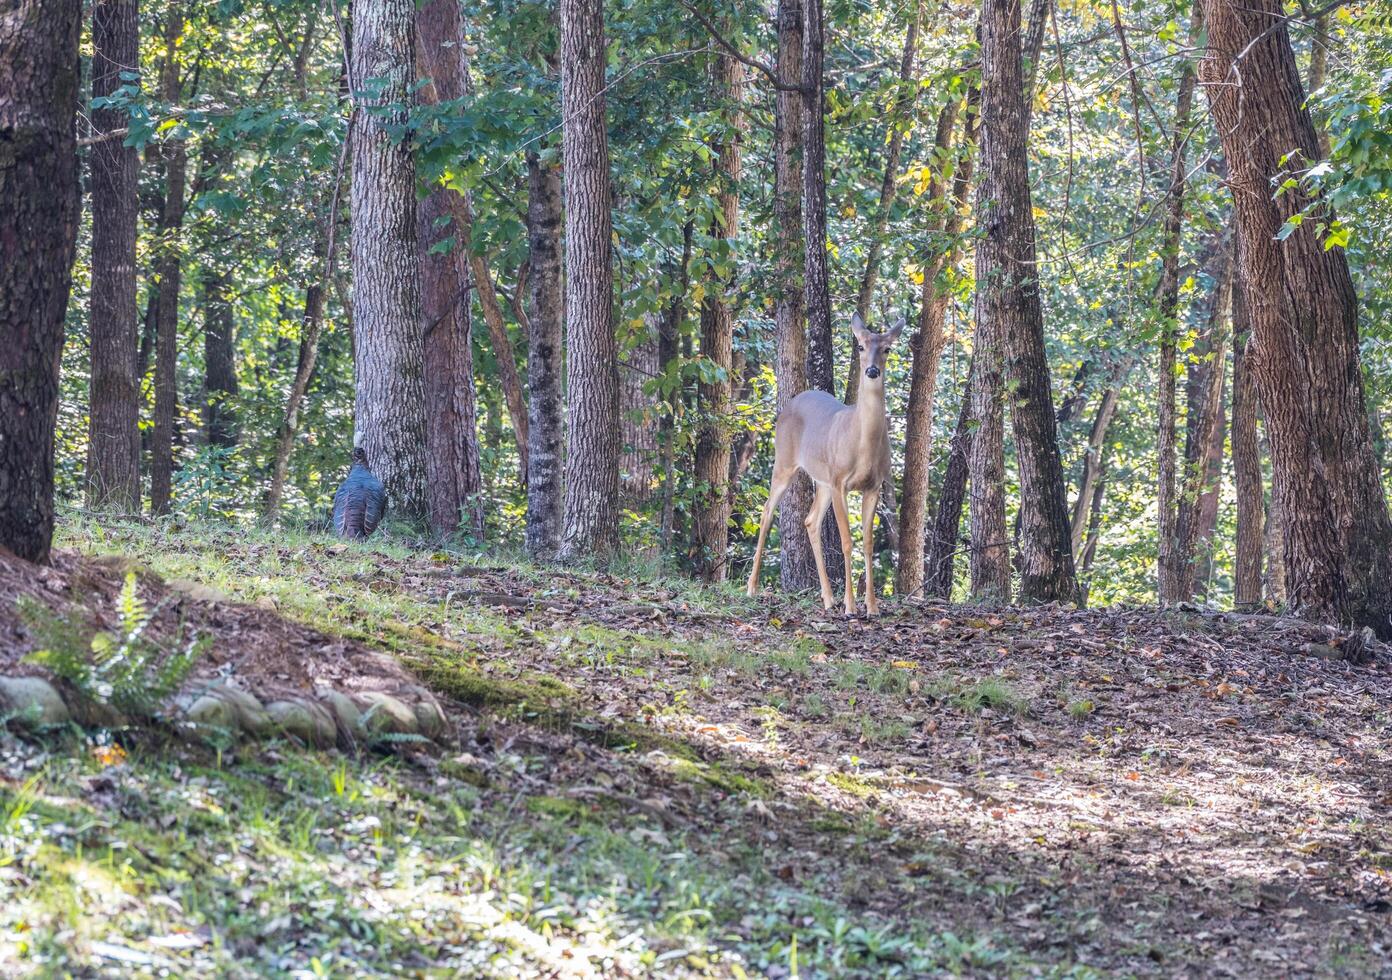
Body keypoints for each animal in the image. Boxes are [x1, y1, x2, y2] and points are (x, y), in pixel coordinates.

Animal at [751, 314, 902, 615]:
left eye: (887, 348)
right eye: (860, 346)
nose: (871, 371)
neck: (861, 443)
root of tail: (789, 404)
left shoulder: (873, 485)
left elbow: (867, 543)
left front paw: (872, 606)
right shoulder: (840, 480)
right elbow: (846, 541)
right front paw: (851, 606)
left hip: (821, 479)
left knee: (810, 520)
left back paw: (828, 598)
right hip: (785, 461)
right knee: (767, 511)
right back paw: (751, 587)